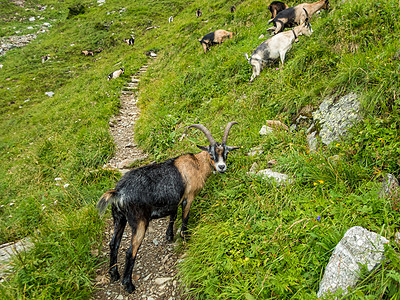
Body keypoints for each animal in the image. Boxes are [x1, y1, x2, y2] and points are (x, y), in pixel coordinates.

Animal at [97, 121, 239, 292]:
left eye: (226, 153)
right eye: (211, 154)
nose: (222, 167)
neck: (197, 164)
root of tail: (118, 192)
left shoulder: (175, 199)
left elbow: (173, 215)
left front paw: (169, 236)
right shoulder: (189, 196)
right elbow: (185, 217)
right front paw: (184, 238)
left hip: (119, 217)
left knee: (114, 244)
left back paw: (114, 274)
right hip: (139, 221)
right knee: (130, 251)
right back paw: (128, 285)